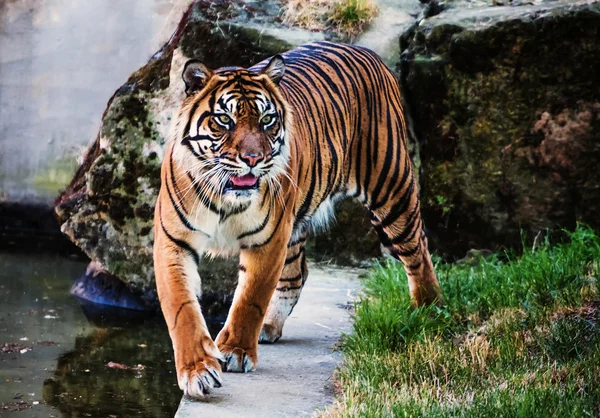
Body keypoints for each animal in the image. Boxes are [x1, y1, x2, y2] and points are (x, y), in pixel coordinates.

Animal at [152, 41, 442, 398]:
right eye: (224, 120)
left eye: (266, 120)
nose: (253, 159)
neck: (225, 196)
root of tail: (365, 50)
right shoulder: (174, 243)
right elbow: (182, 309)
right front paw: (197, 370)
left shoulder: (267, 240)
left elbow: (250, 298)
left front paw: (235, 351)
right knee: (297, 274)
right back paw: (270, 326)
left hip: (391, 188)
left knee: (417, 250)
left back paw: (428, 310)